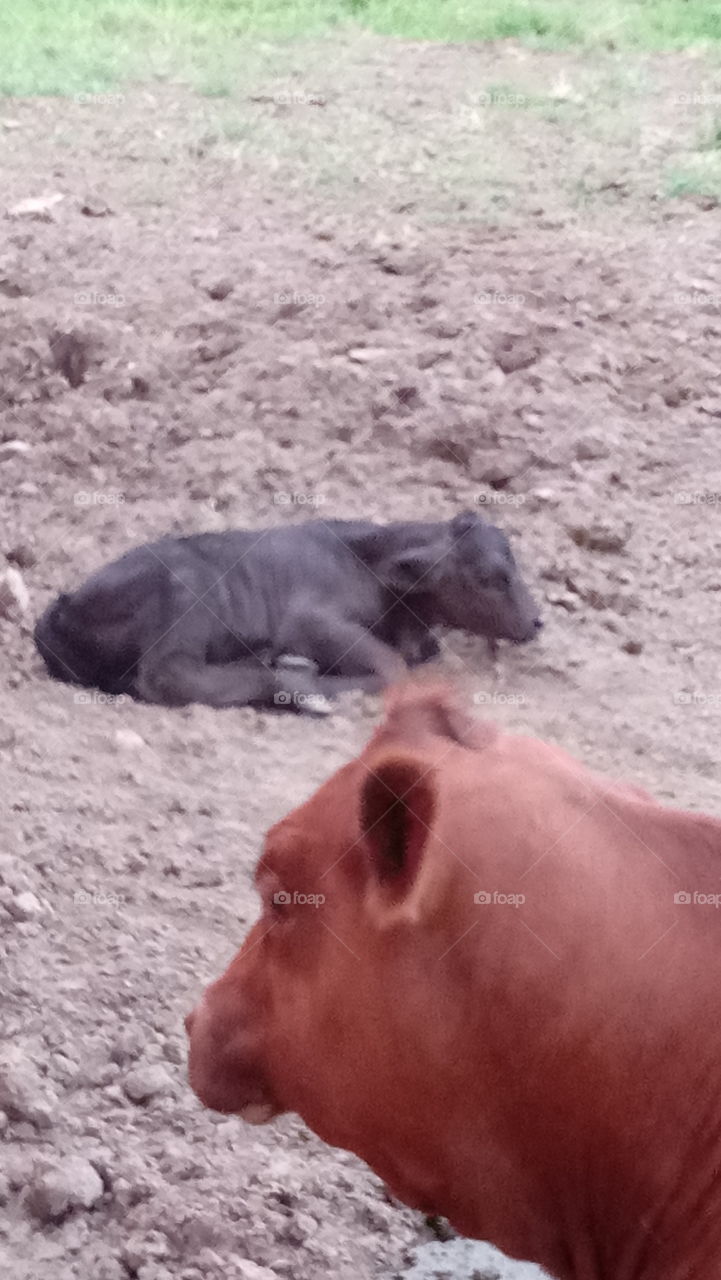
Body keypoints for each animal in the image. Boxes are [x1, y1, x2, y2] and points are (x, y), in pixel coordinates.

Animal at [34, 512, 541, 712]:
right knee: (169, 676)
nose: (537, 621)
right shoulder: (310, 621)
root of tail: (61, 607)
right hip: (186, 590)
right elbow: (391, 668)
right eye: (491, 576)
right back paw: (298, 684)